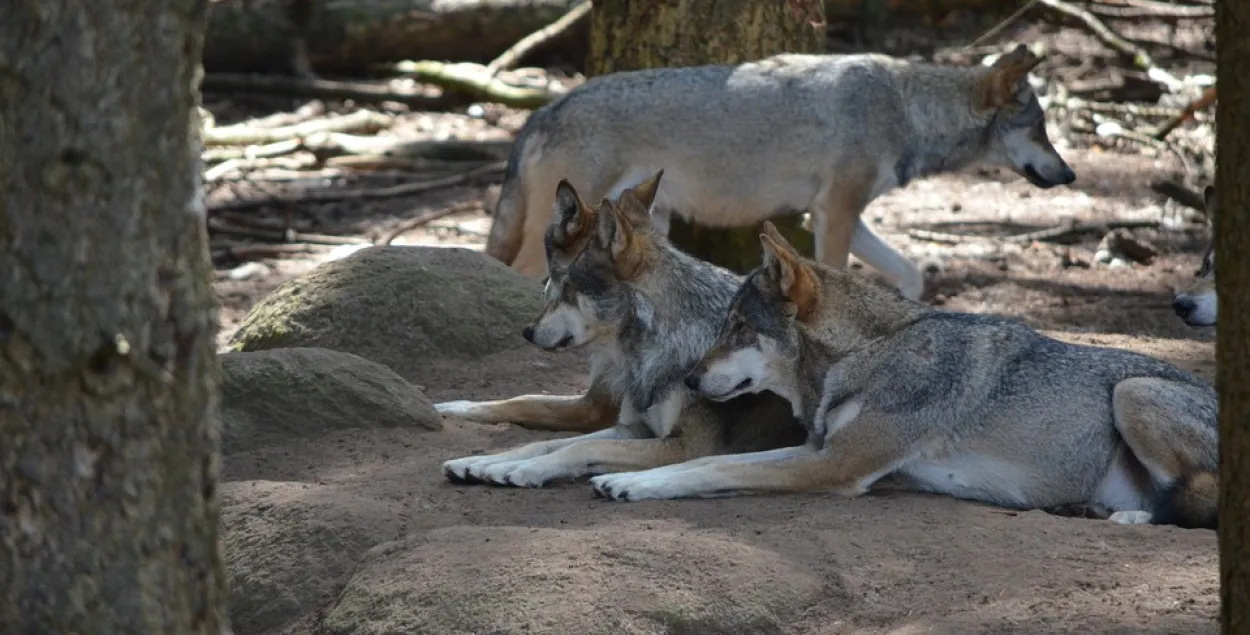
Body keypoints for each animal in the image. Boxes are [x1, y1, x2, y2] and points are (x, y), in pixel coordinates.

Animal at [440, 171, 810, 487]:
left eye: (569, 287)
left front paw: (524, 471)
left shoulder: (686, 445)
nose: (528, 331)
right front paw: (484, 462)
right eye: (559, 281)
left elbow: (577, 445)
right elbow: (547, 440)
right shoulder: (632, 428)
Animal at [485, 44, 1075, 302]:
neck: (904, 108)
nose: (1070, 175)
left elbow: (911, 274)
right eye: (1041, 128)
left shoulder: (831, 215)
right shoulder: (836, 214)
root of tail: (543, 110)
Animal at [587, 221, 1220, 527]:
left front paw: (635, 485)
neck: (866, 354)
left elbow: (712, 468)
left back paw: (1132, 515)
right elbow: (702, 461)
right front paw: (630, 477)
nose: (691, 381)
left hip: (1132, 392)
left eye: (740, 328)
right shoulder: (818, 450)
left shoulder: (834, 465)